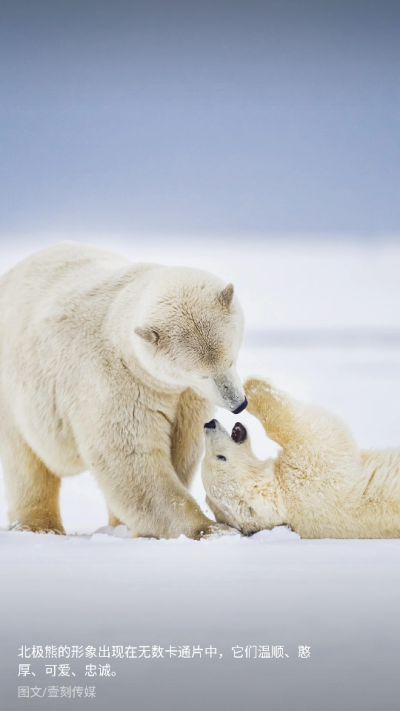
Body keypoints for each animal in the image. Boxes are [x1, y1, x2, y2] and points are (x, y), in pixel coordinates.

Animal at [0, 245, 247, 540]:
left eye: (231, 359)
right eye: (201, 374)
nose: (239, 404)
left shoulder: (184, 397)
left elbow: (182, 446)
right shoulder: (117, 383)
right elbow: (132, 459)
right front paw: (211, 529)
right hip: (15, 395)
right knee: (26, 462)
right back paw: (40, 526)